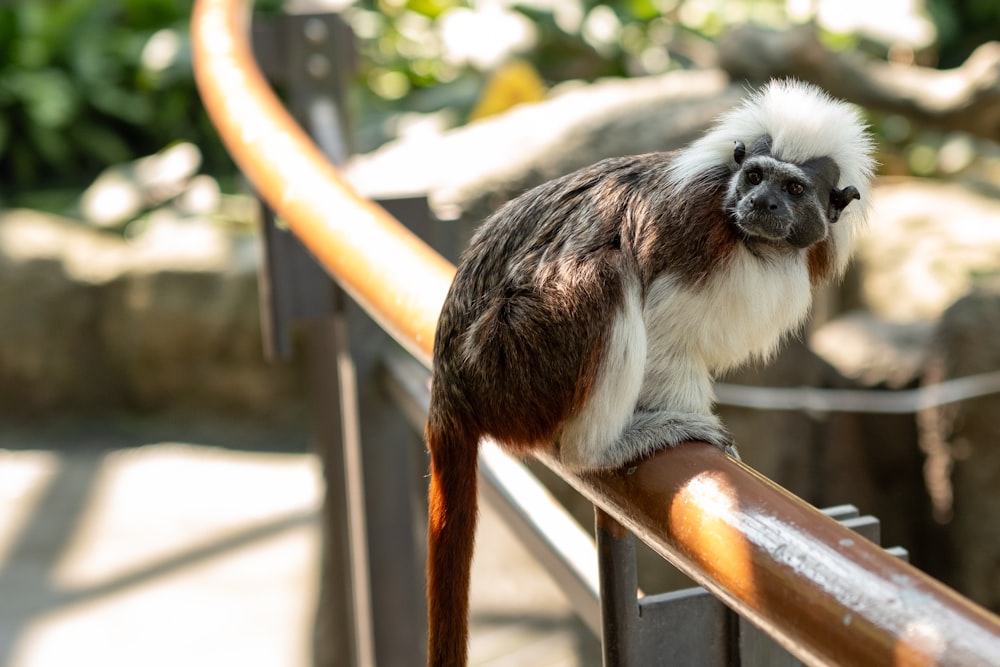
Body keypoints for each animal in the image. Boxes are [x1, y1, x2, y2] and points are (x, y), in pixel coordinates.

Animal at [422, 77, 876, 664]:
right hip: (510, 360)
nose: (762, 202)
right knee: (604, 274)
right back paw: (606, 447)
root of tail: (450, 379)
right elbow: (663, 336)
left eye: (795, 190)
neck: (756, 243)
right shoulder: (693, 241)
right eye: (755, 176)